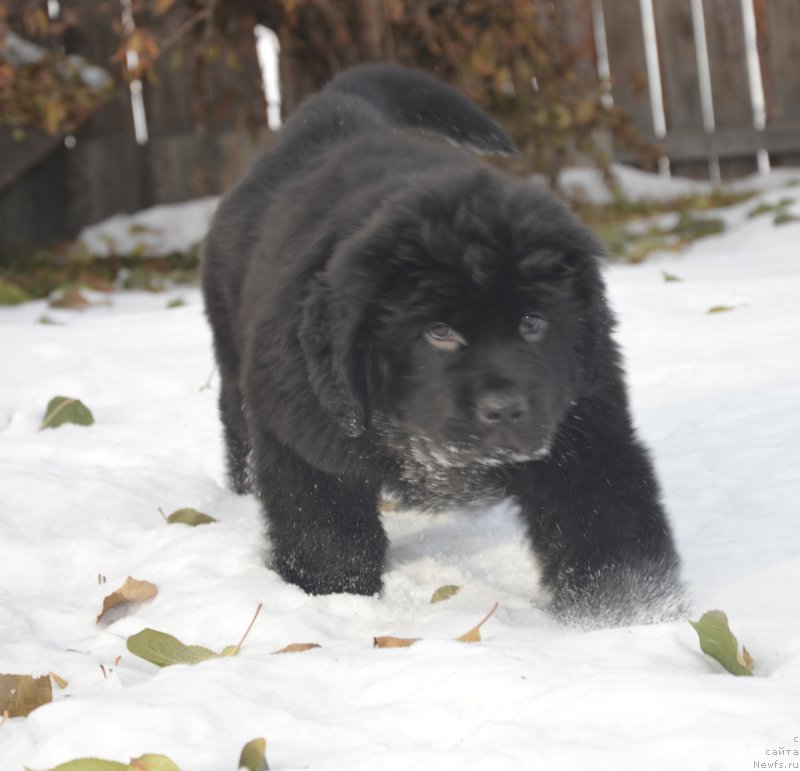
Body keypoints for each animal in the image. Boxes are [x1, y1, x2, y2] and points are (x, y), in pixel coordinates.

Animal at [203, 61, 684, 628]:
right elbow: (326, 537)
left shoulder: (585, 432)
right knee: (236, 423)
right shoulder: (305, 439)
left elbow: (610, 536)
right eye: (439, 332)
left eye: (533, 323)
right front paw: (335, 602)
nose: (504, 409)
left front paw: (626, 620)